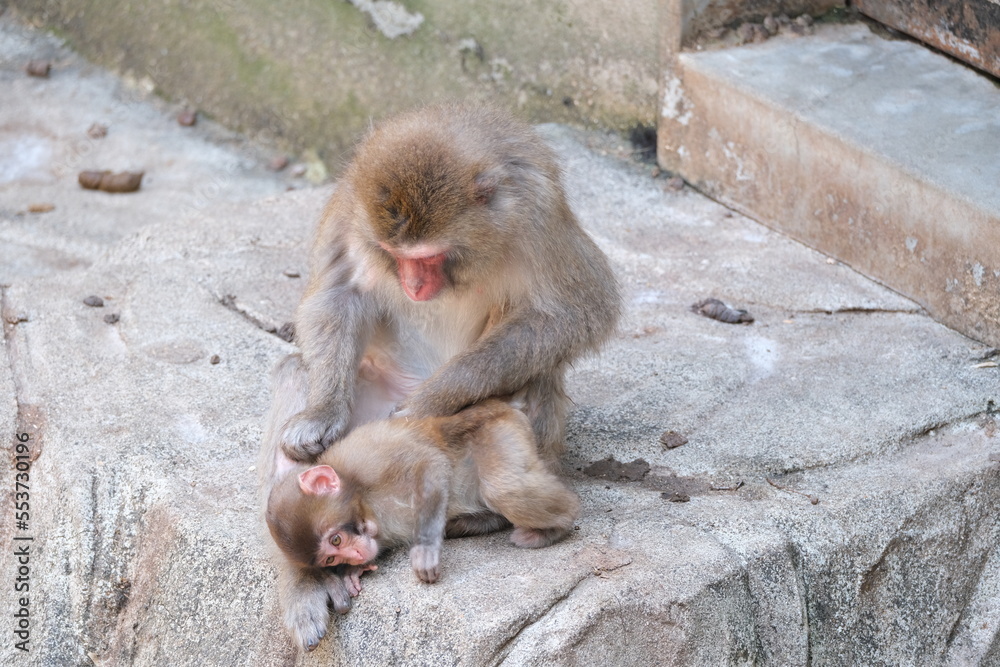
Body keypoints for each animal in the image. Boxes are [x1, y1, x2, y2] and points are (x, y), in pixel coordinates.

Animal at [262, 354, 580, 652]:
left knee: (507, 488)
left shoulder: (367, 456)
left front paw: (425, 550)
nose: (355, 555)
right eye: (330, 559)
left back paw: (557, 524)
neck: (363, 499)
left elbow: (430, 462)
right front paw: (353, 573)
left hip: (500, 427)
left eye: (336, 540)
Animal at [278, 104, 616, 468]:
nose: (413, 286)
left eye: (431, 256)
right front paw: (323, 412)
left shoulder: (539, 218)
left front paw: (431, 400)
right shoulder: (349, 206)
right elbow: (339, 294)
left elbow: (575, 313)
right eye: (391, 254)